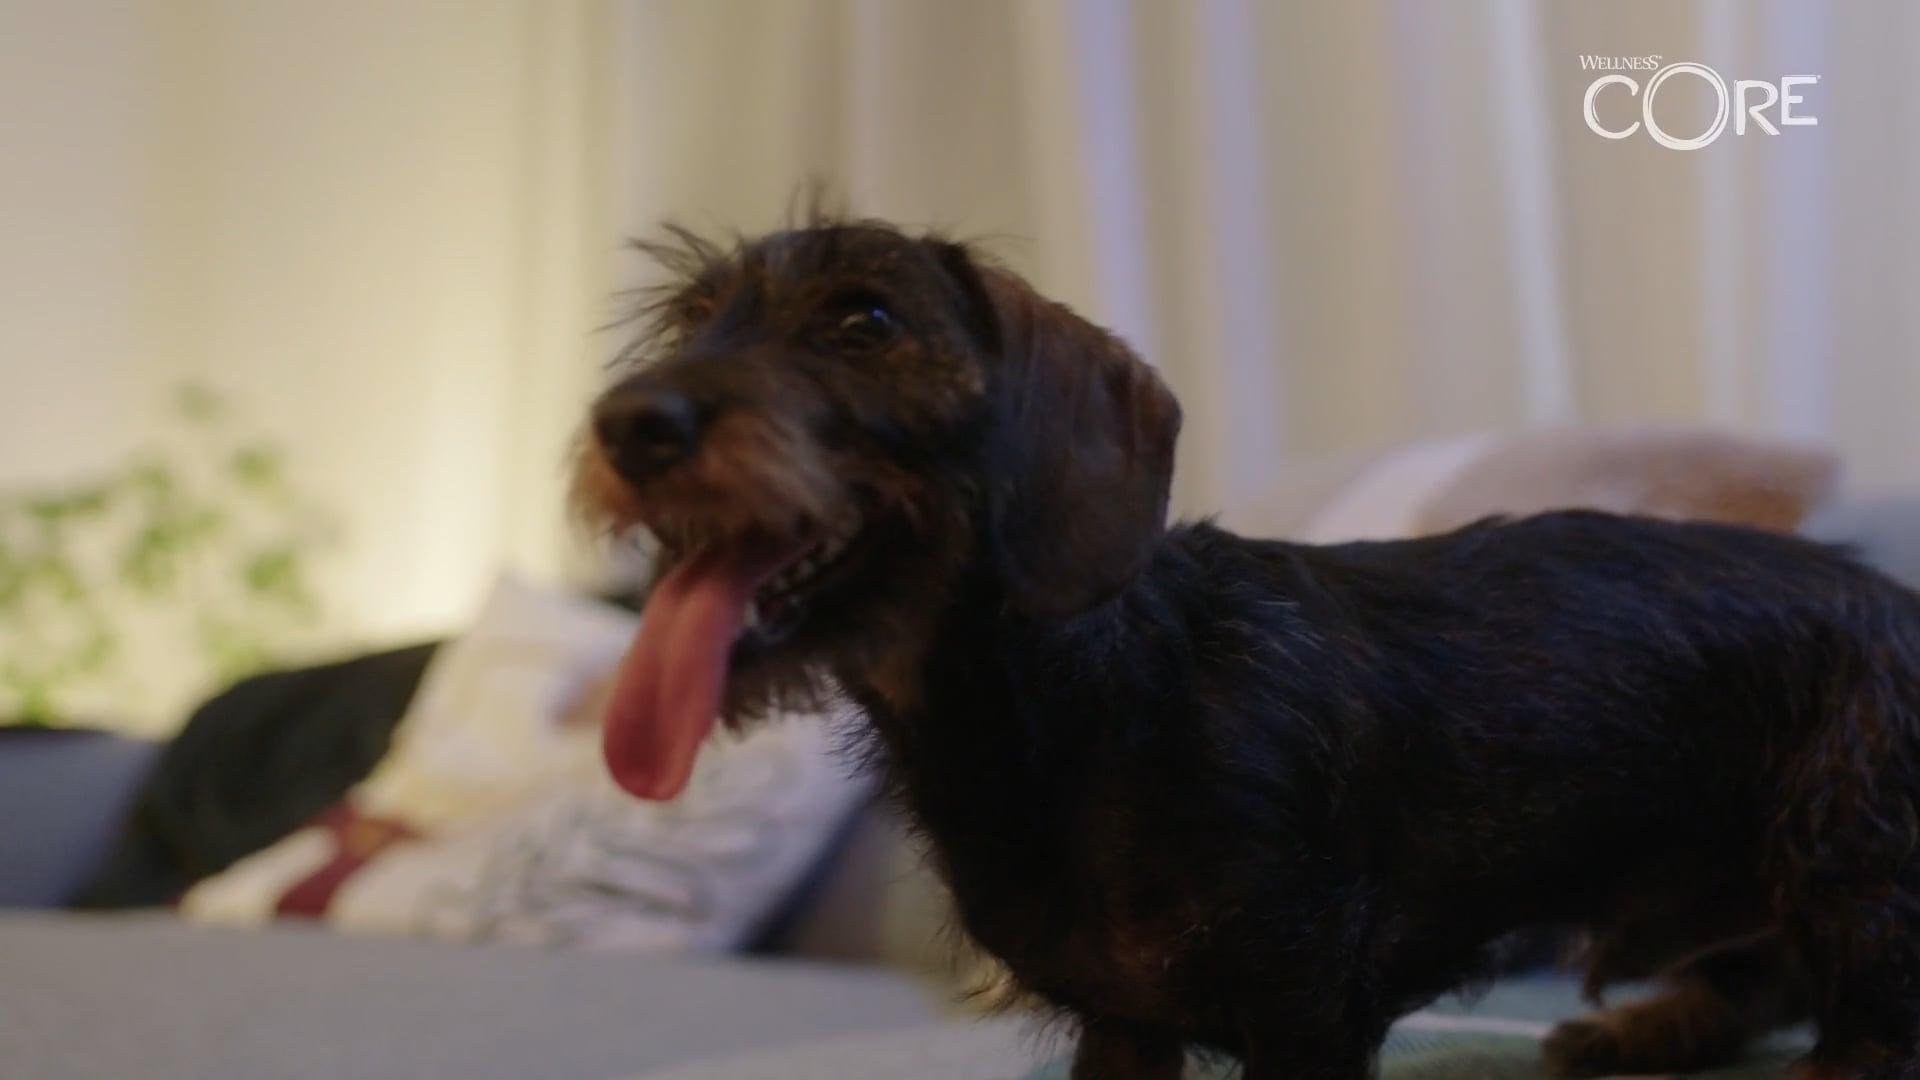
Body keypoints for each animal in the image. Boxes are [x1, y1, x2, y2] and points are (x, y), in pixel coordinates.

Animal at [574, 216, 1920, 1080]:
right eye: (693, 321)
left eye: (865, 320)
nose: (625, 422)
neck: (1081, 700)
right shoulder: (1123, 1028)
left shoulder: (1305, 1002)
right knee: (1760, 975)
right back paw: (1638, 1031)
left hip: (1852, 859)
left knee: (1859, 1023)